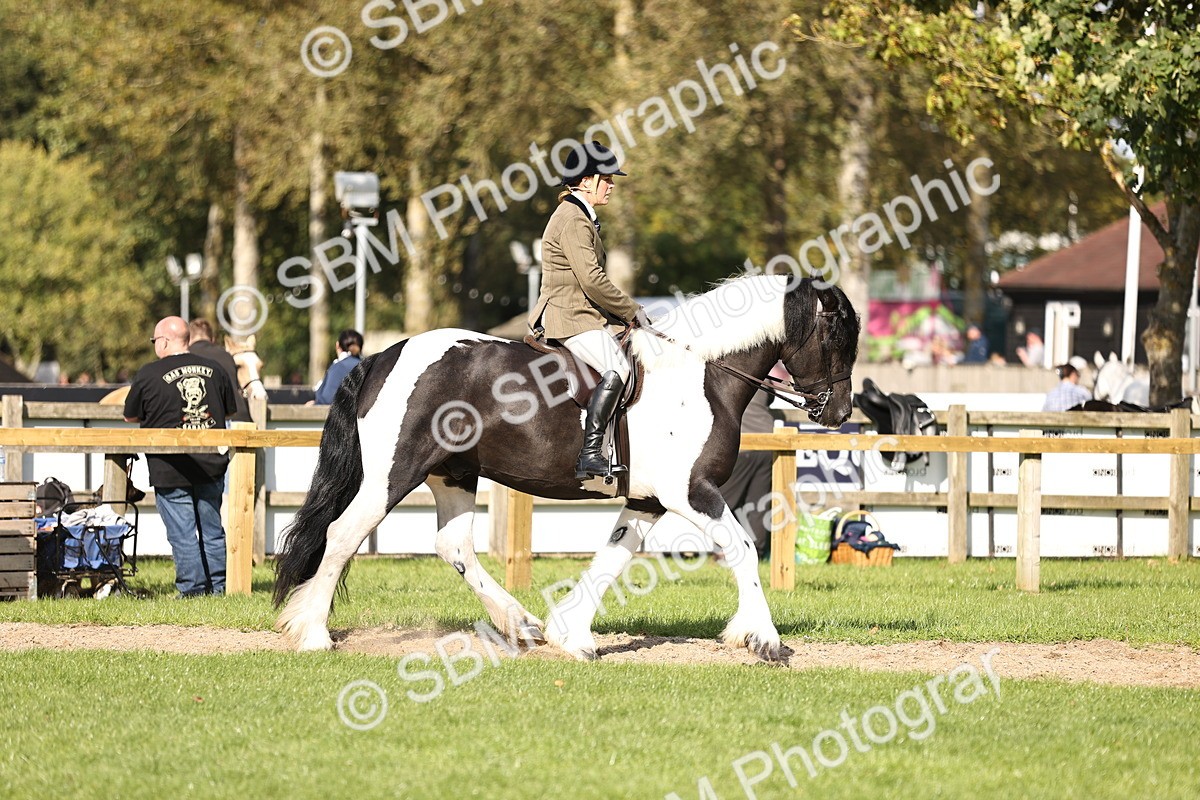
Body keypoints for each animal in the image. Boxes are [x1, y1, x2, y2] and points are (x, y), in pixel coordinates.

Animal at [272, 275, 860, 661]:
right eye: (837, 336)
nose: (838, 413)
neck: (701, 375)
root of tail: (381, 357)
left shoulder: (648, 499)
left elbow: (614, 557)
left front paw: (571, 635)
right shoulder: (692, 492)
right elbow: (739, 546)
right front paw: (764, 639)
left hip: (454, 473)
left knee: (453, 546)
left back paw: (521, 624)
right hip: (393, 475)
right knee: (341, 533)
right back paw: (313, 634)